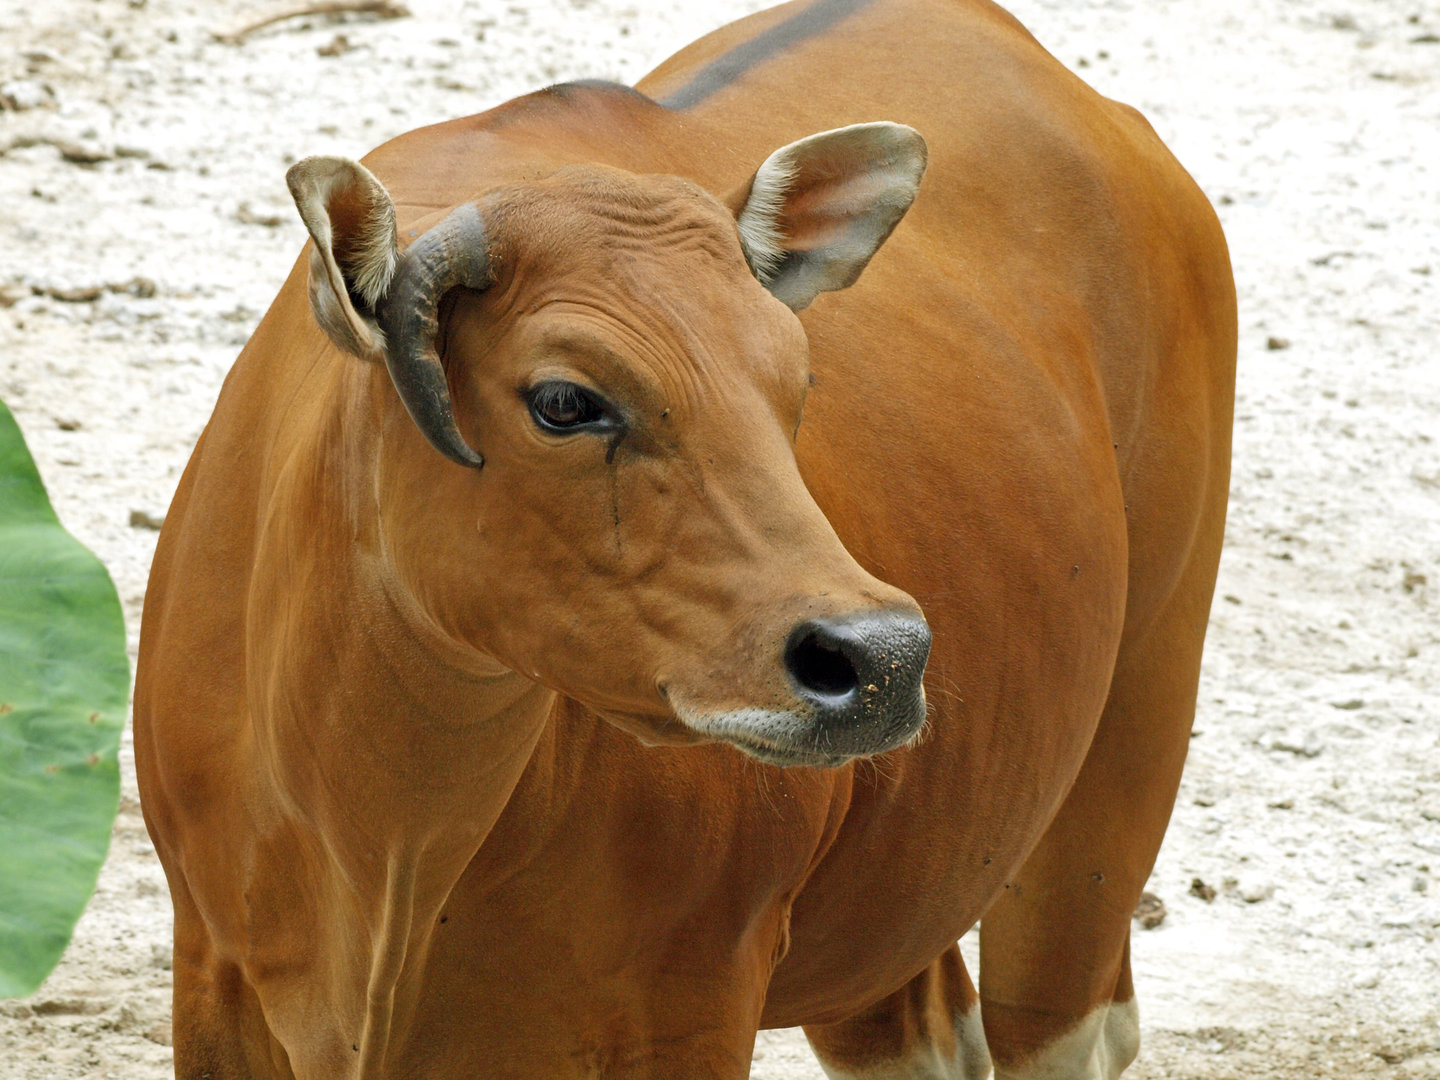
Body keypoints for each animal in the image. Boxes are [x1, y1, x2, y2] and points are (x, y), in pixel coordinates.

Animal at [133, 0, 1235, 1076]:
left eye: (796, 377)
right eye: (565, 399)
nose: (882, 659)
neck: (385, 868)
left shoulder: (690, 999)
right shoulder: (213, 977)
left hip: (1133, 723)